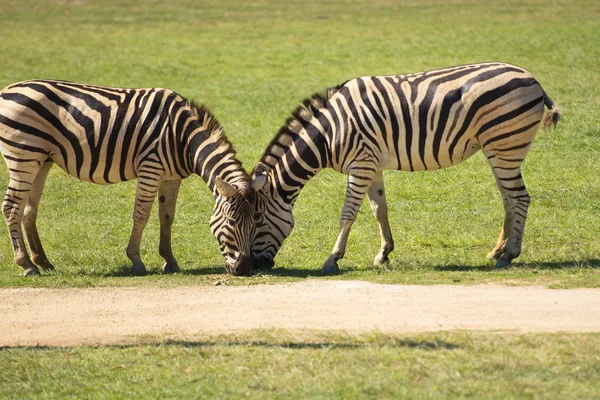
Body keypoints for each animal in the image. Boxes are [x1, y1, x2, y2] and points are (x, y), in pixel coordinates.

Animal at [0, 79, 262, 276]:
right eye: (231, 222)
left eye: (255, 222)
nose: (244, 268)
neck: (184, 138)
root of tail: (7, 90)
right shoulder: (151, 168)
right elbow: (142, 215)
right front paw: (136, 261)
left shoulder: (171, 177)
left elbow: (167, 217)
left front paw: (170, 260)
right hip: (23, 155)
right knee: (12, 207)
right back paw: (27, 265)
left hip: (41, 159)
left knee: (28, 209)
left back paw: (43, 262)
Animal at [251, 62, 560, 274]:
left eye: (256, 220)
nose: (251, 266)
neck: (329, 133)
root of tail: (532, 79)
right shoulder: (371, 165)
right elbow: (379, 210)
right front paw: (383, 254)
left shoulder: (360, 165)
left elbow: (347, 214)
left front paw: (332, 258)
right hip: (498, 150)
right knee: (509, 199)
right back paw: (497, 251)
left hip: (505, 146)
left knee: (520, 198)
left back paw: (510, 255)